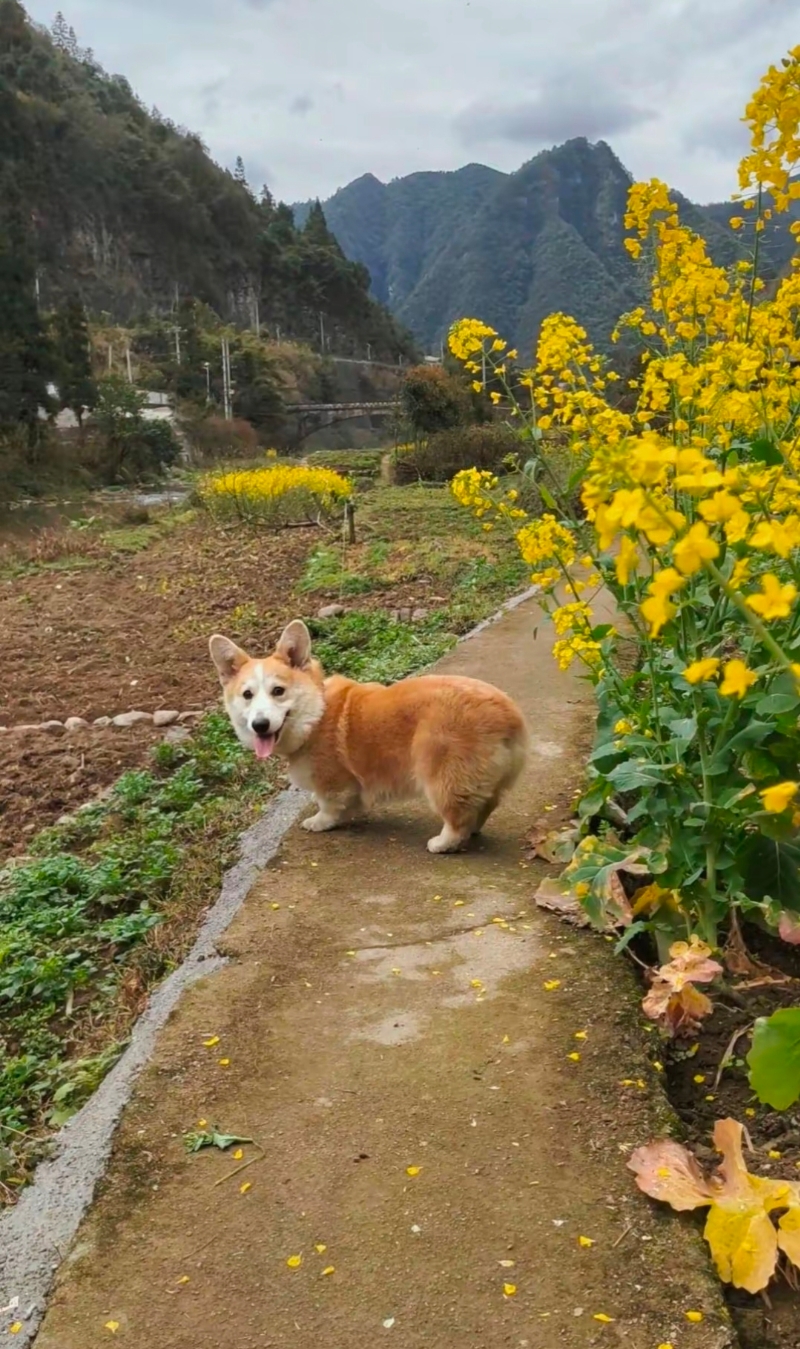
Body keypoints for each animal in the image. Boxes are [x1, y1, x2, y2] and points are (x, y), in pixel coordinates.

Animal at [209, 620, 526, 852]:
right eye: (247, 695)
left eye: (278, 691)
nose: (260, 725)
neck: (315, 712)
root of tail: (509, 716)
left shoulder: (332, 782)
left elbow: (329, 805)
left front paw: (319, 822)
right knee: (485, 804)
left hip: (443, 774)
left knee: (458, 816)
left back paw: (442, 843)